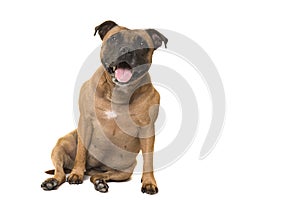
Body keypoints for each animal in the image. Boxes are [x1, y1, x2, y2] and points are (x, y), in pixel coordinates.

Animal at [41, 21, 169, 195]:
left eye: (142, 43)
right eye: (114, 39)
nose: (126, 50)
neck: (119, 93)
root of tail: (93, 169)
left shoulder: (147, 129)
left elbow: (149, 159)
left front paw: (149, 182)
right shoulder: (86, 122)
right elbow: (81, 152)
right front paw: (76, 174)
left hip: (125, 171)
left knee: (100, 176)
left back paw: (100, 182)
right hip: (61, 145)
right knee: (59, 170)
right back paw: (53, 181)